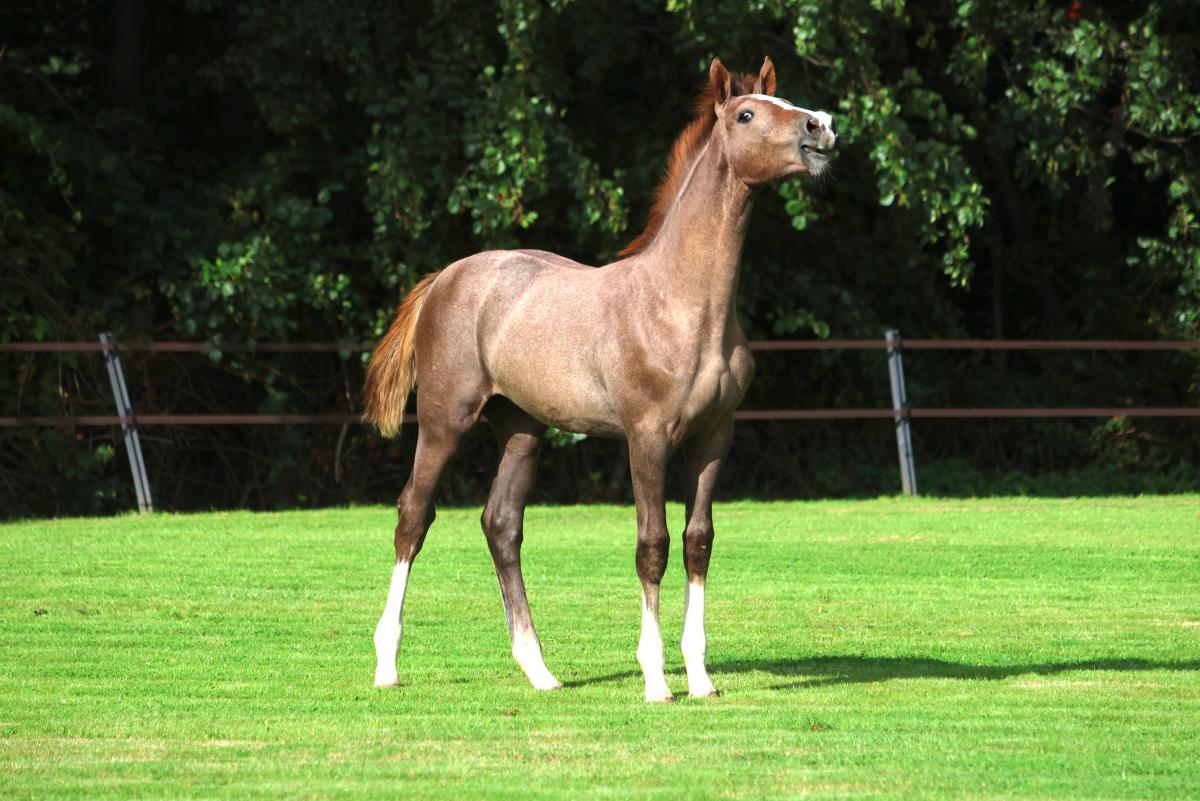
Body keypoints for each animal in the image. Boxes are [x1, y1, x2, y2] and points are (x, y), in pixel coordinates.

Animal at [363, 56, 837, 702]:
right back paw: (387, 664)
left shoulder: (714, 438)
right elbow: (652, 546)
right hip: (444, 421)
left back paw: (540, 671)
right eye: (746, 114)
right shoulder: (647, 437)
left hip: (522, 429)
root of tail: (444, 278)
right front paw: (657, 680)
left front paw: (701, 678)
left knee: (501, 524)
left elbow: (698, 541)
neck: (681, 303)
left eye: (785, 102)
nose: (821, 127)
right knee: (413, 516)